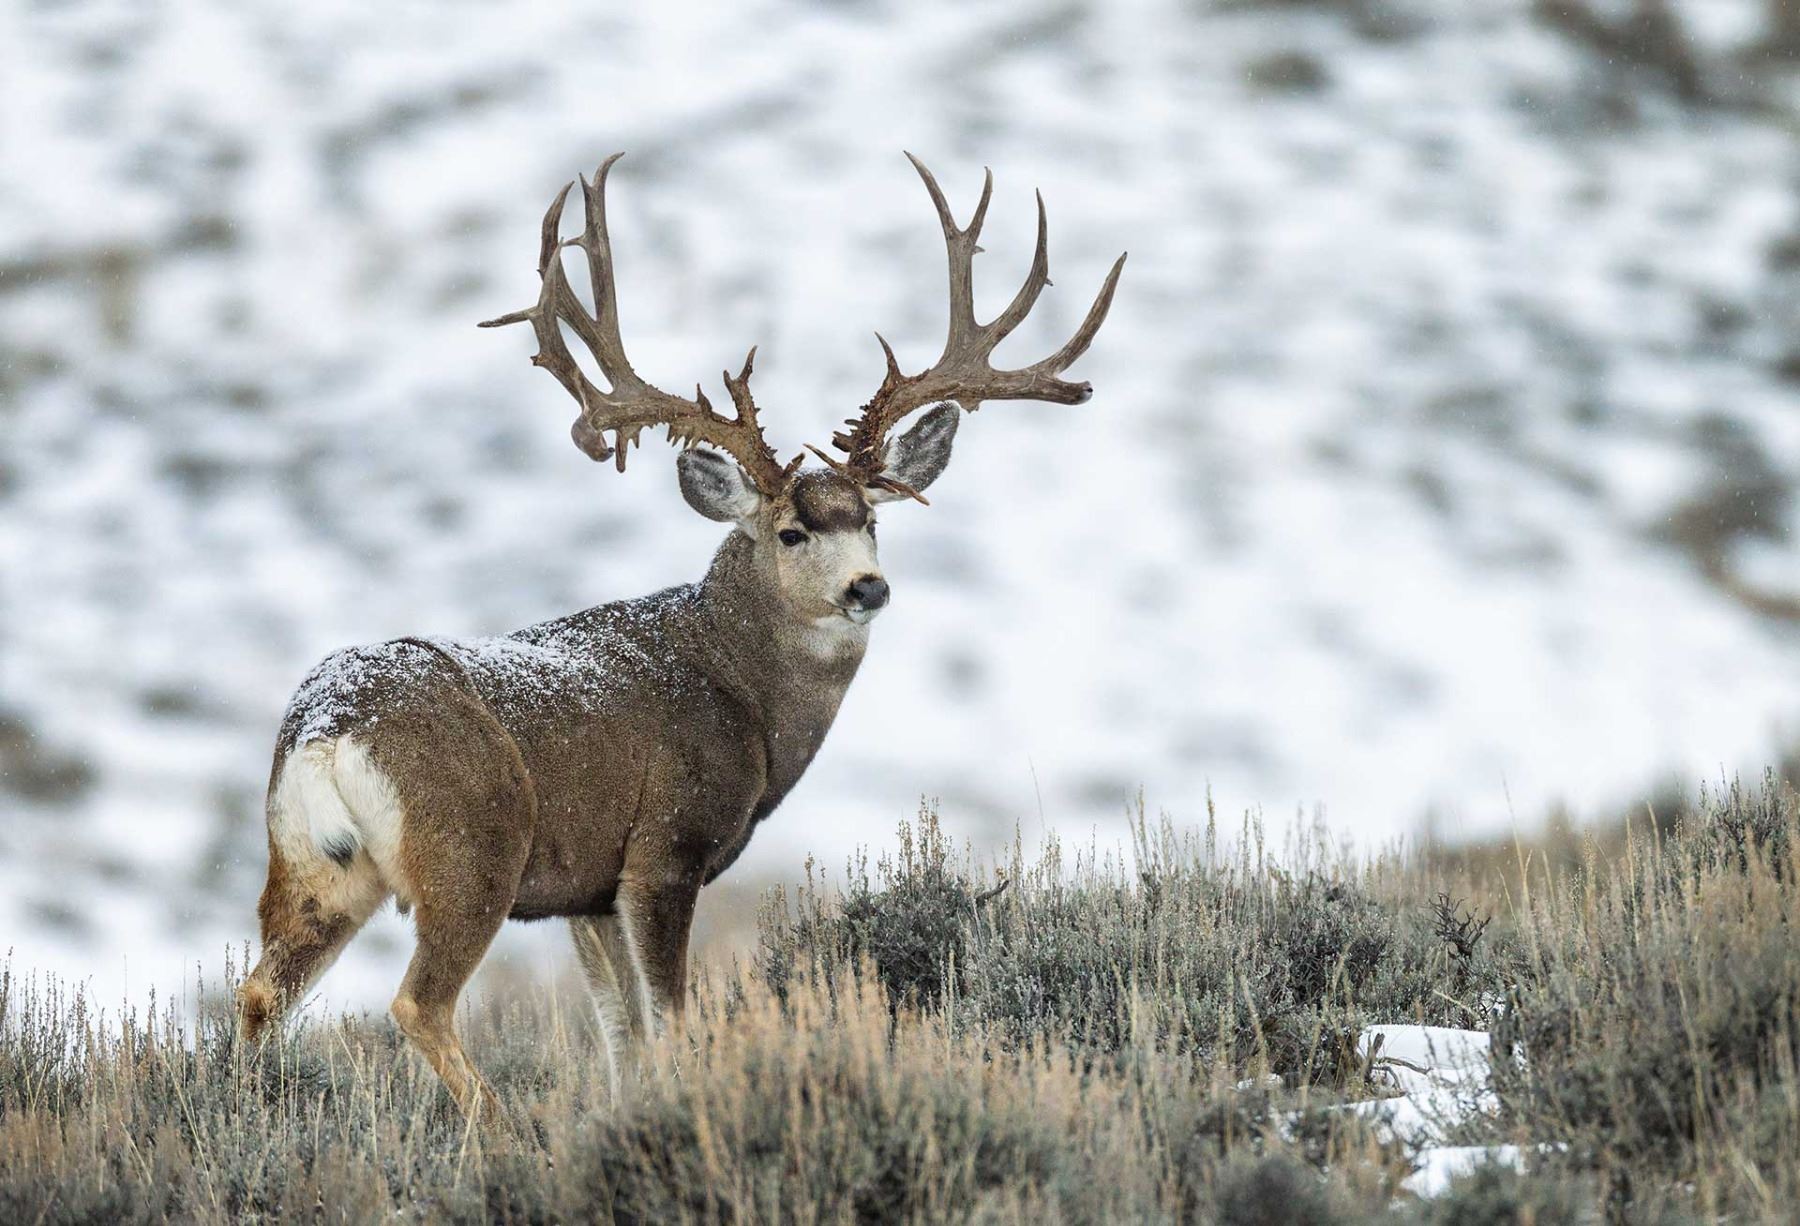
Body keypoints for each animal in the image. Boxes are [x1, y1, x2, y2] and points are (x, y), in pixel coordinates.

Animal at [235, 152, 1125, 1125]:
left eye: (872, 521)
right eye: (791, 532)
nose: (869, 586)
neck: (739, 689)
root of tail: (328, 730)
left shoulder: (584, 889)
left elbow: (621, 1030)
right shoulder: (665, 849)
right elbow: (668, 1020)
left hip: (316, 870)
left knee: (259, 993)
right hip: (472, 848)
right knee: (416, 1001)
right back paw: (503, 1132)